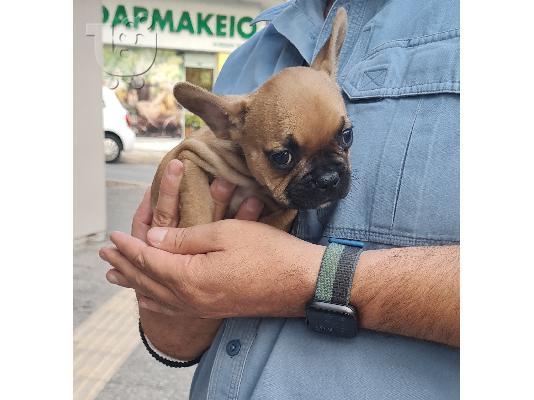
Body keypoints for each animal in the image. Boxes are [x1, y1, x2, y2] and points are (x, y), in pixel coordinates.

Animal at [151, 7, 354, 231]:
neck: (252, 181)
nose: (328, 178)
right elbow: (196, 205)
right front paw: (194, 231)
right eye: (282, 157)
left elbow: (274, 223)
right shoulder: (190, 158)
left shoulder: (287, 209)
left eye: (347, 135)